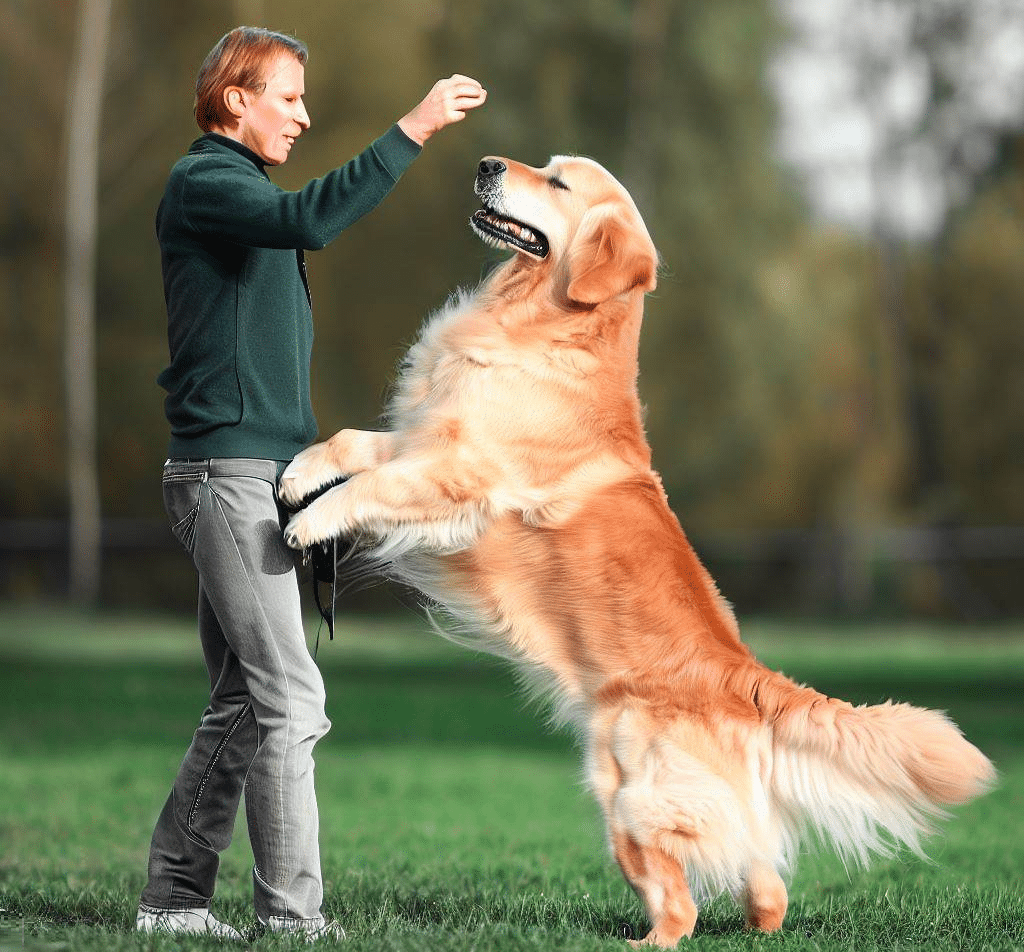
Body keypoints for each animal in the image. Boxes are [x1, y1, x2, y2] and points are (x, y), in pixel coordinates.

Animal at [278, 155, 991, 941]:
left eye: (557, 183)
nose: (487, 163)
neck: (545, 325)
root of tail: (745, 675)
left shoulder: (462, 475)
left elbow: (371, 485)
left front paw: (309, 522)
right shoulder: (423, 437)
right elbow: (352, 444)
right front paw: (297, 474)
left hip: (628, 797)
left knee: (681, 907)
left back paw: (636, 940)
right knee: (764, 880)